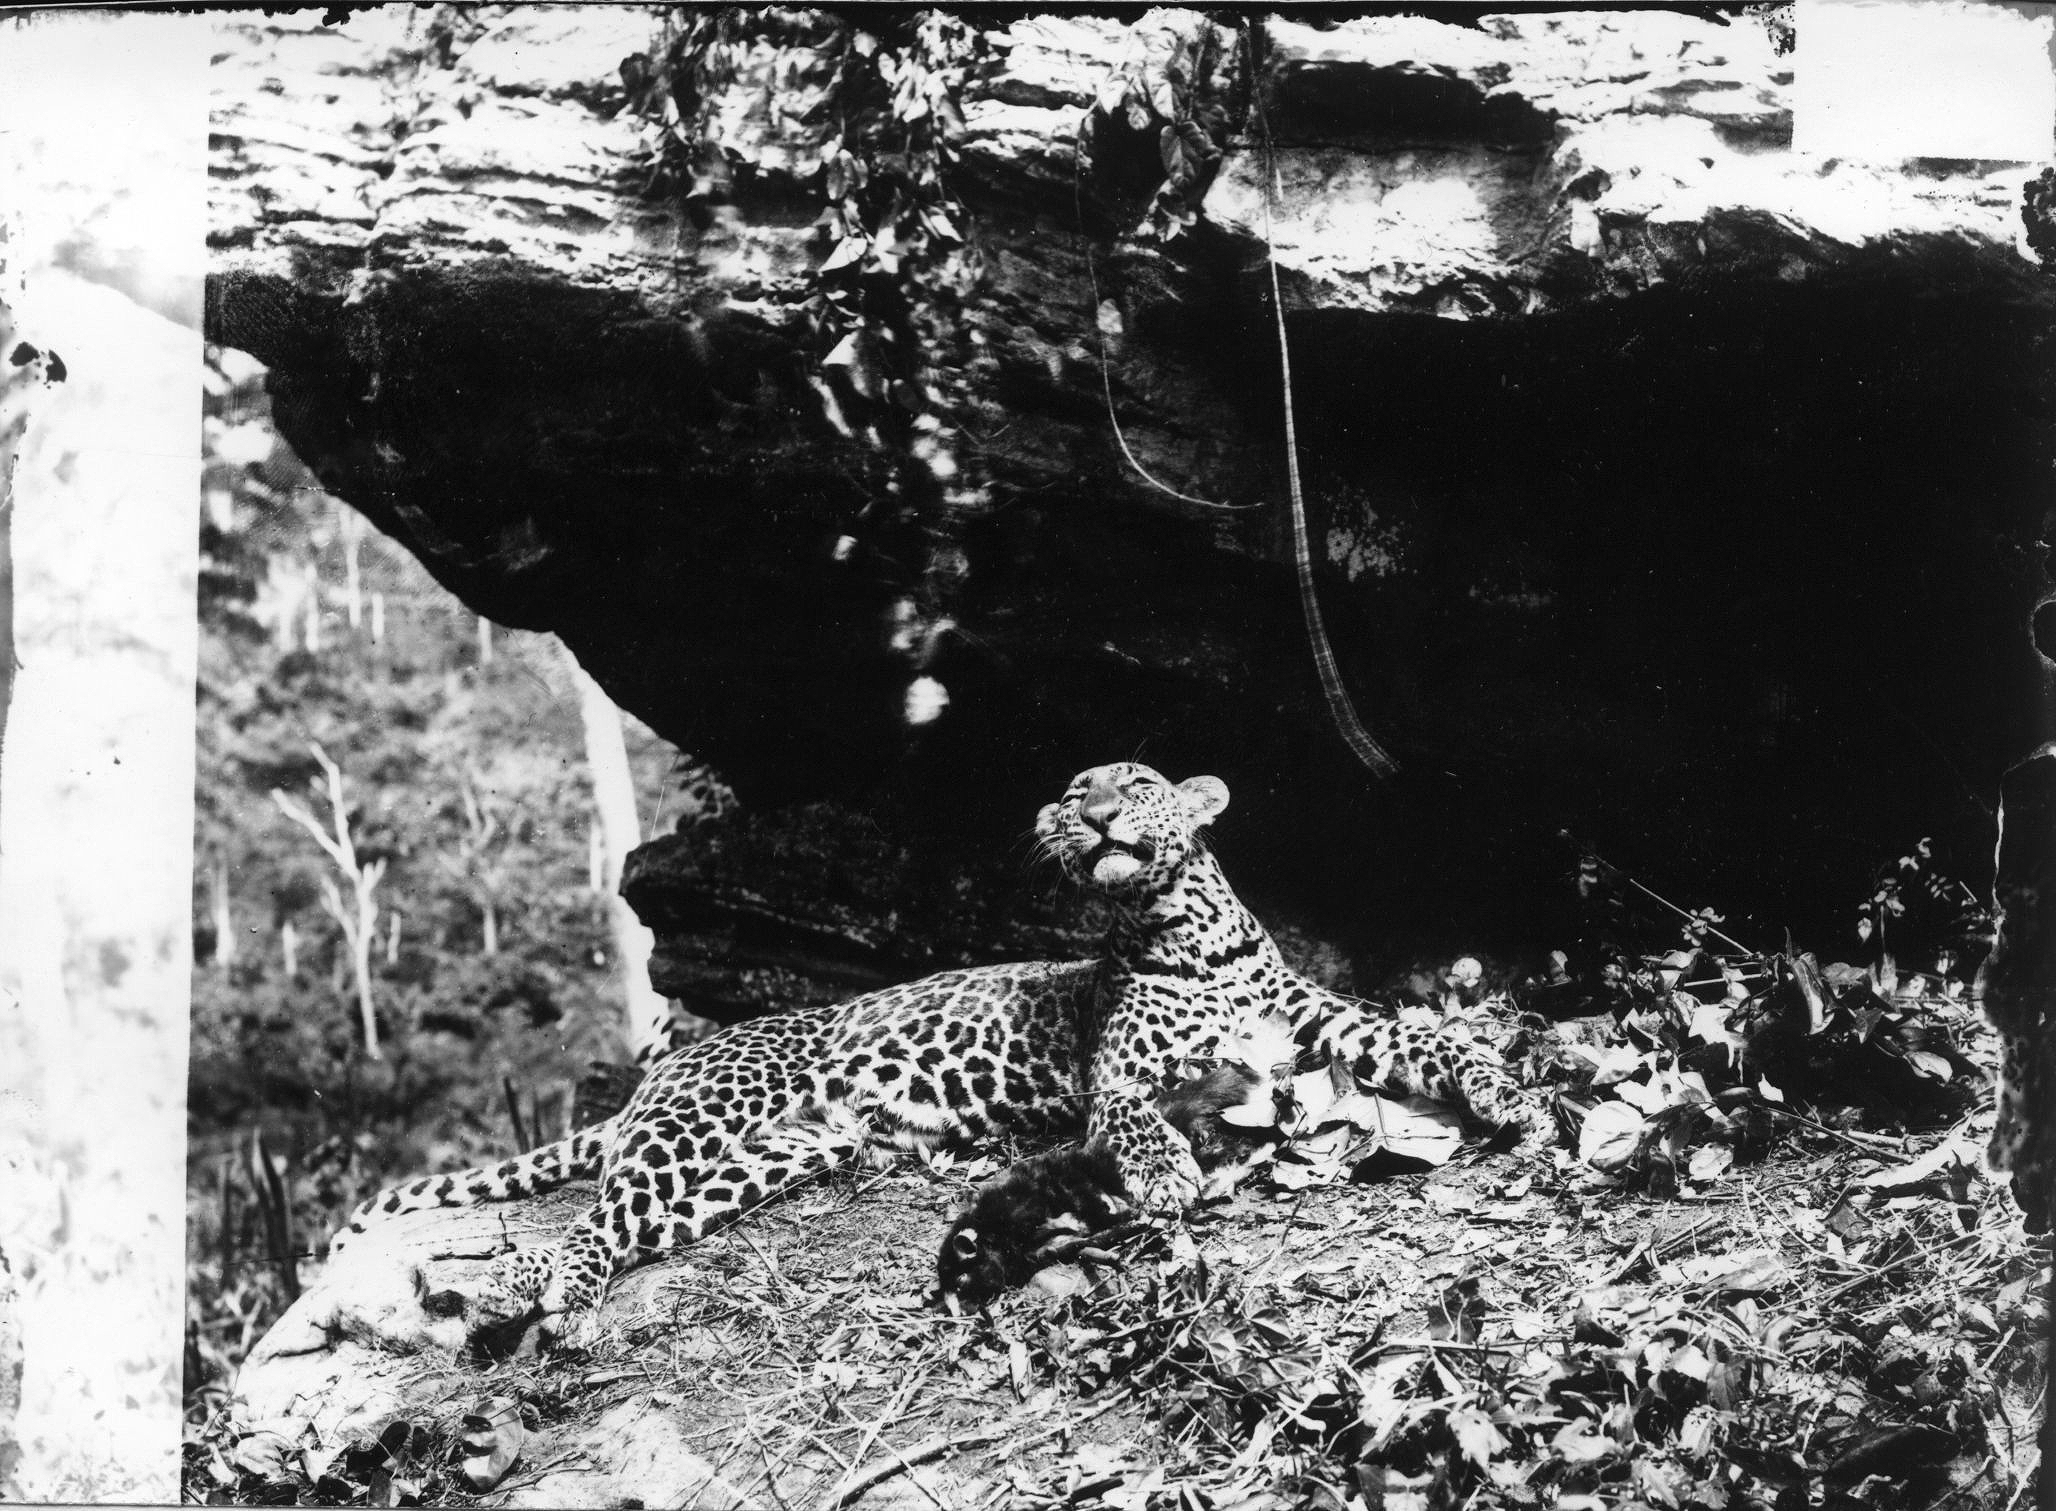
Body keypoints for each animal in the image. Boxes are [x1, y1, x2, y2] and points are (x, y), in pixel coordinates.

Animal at [327, 760, 1542, 1339]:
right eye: (1072, 790)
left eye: (1139, 781)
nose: (1090, 810)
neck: (1187, 928)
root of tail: (665, 1068)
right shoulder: (1116, 1077)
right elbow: (1136, 1117)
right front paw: (1165, 1176)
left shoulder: (1327, 1023)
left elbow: (1423, 1037)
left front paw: (1506, 1089)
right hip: (699, 1122)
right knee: (586, 1221)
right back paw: (516, 1290)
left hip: (766, 1159)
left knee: (624, 1224)